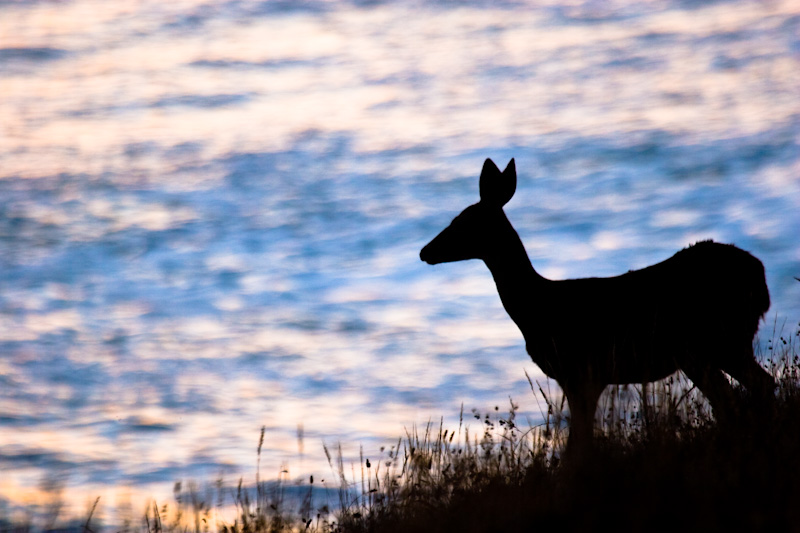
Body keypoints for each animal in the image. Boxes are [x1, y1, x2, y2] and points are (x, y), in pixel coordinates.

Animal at [418, 157, 776, 448]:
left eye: (463, 221)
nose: (425, 251)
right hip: (711, 347)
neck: (538, 307)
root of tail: (761, 279)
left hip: (715, 341)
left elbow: (578, 445)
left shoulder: (581, 372)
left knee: (749, 392)